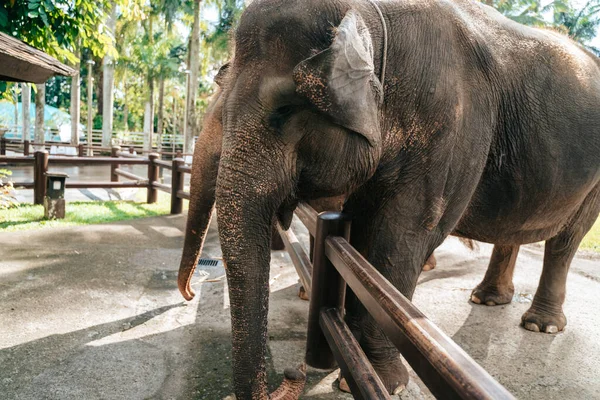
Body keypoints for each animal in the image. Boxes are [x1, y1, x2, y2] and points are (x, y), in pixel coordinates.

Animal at [177, 0, 600, 396]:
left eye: (284, 111)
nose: (291, 373)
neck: (369, 17)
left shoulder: (449, 120)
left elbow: (401, 234)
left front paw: (374, 381)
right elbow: (361, 230)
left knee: (566, 240)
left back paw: (540, 325)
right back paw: (488, 300)